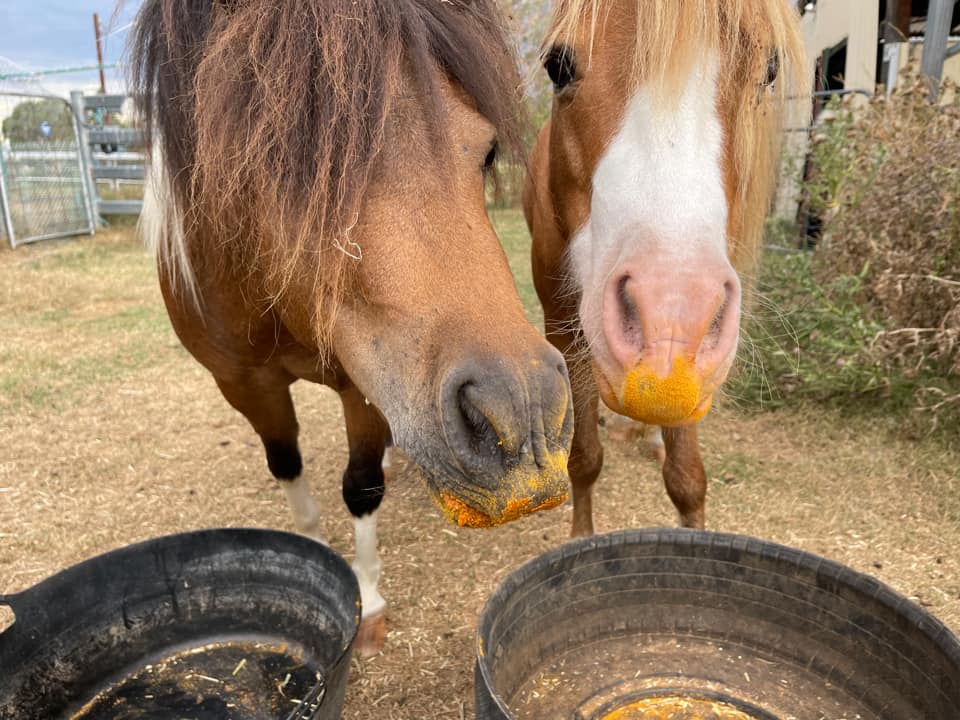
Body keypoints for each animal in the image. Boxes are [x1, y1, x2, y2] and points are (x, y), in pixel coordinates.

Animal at [131, 0, 572, 656]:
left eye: (489, 150)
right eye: (275, 157)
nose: (525, 417)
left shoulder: (362, 382)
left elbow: (360, 485)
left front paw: (368, 602)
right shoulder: (244, 385)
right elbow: (287, 466)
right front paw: (315, 558)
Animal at [524, 0, 804, 536]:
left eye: (770, 70)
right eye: (557, 65)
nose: (668, 323)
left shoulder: (699, 367)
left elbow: (687, 478)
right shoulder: (563, 328)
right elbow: (584, 460)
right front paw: (580, 538)